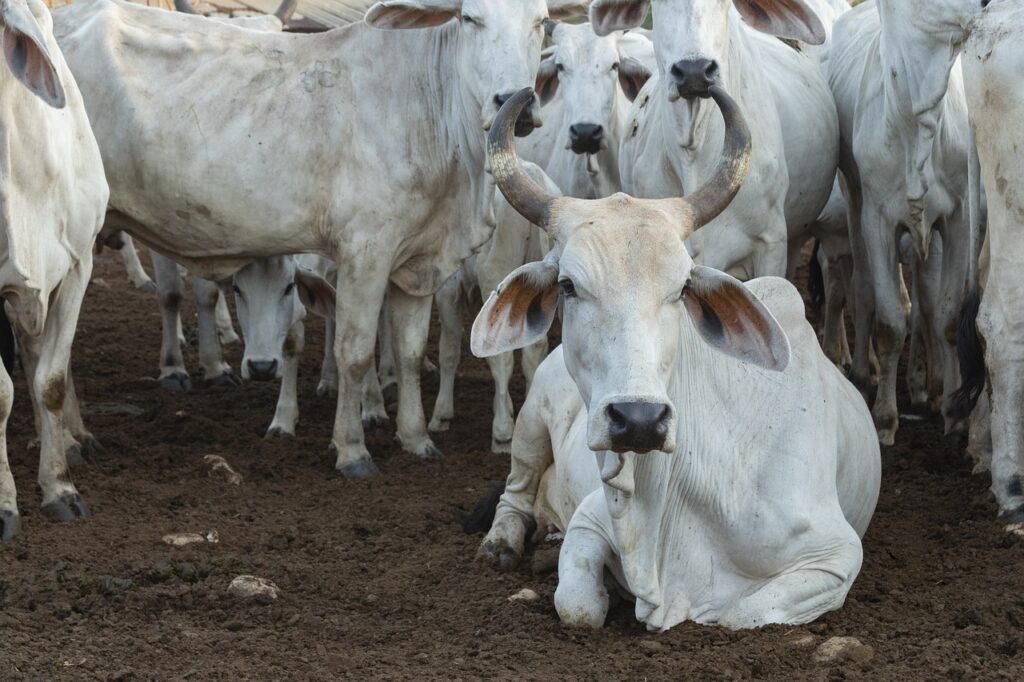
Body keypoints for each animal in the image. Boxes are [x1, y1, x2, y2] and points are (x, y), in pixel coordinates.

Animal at [471, 89, 880, 626]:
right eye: (568, 285)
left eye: (683, 286)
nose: (639, 419)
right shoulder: (593, 516)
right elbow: (578, 606)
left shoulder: (835, 556)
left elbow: (738, 614)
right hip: (531, 419)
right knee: (515, 492)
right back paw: (504, 542)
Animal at [827, 0, 970, 444]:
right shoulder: (877, 219)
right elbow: (891, 321)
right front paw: (885, 418)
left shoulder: (957, 216)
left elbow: (946, 315)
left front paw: (954, 411)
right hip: (854, 203)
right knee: (861, 289)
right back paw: (862, 372)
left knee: (924, 299)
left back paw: (926, 383)